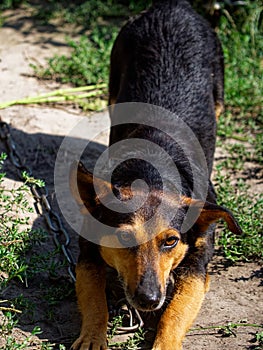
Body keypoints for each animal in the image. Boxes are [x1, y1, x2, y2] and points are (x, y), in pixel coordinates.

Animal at [71, 1, 242, 348]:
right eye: (124, 238)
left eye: (171, 241)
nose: (148, 300)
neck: (152, 169)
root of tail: (174, 6)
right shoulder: (88, 252)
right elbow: (94, 298)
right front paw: (93, 336)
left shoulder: (197, 264)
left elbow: (175, 313)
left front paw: (164, 341)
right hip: (115, 80)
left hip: (218, 85)